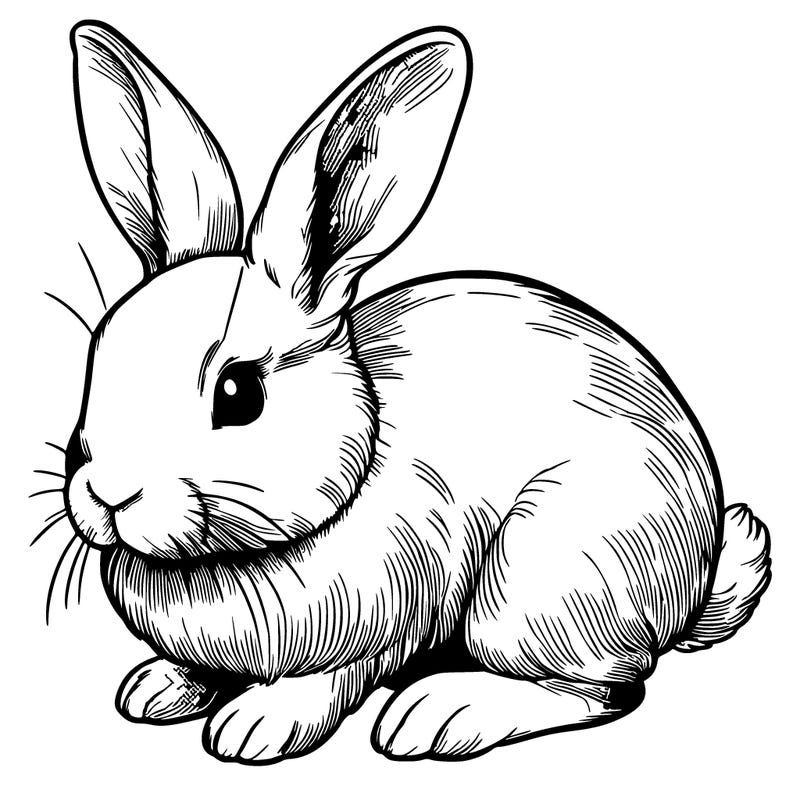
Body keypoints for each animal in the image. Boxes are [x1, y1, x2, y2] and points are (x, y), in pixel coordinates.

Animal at [60, 20, 771, 764]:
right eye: (98, 355)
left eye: (238, 393)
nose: (108, 494)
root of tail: (696, 578)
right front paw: (158, 688)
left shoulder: (377, 623)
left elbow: (329, 681)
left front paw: (255, 727)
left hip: (539, 584)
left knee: (605, 689)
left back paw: (438, 715)